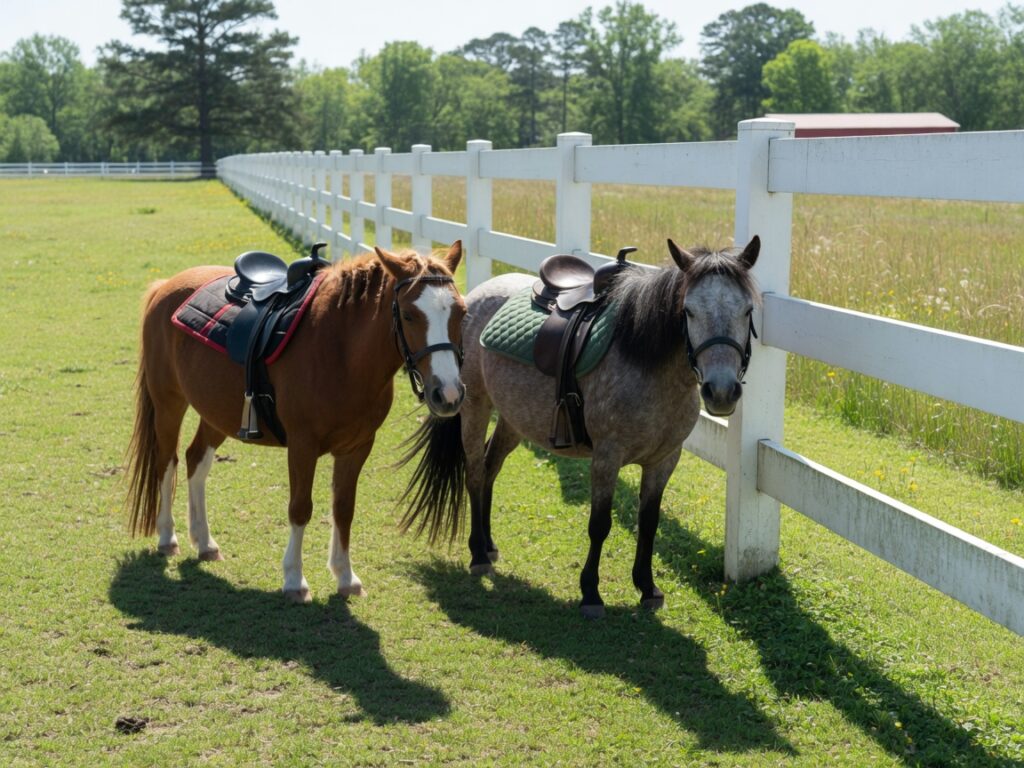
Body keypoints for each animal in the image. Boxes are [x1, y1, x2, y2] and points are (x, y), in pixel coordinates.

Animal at [125, 241, 467, 603]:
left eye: (461, 312)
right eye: (409, 314)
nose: (448, 393)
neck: (340, 349)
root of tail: (165, 285)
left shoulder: (358, 447)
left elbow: (344, 508)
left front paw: (346, 577)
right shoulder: (302, 445)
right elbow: (300, 507)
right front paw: (294, 580)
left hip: (217, 413)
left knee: (195, 461)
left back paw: (204, 542)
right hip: (168, 404)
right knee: (167, 463)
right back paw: (167, 537)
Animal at [399, 237, 761, 617]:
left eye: (747, 310)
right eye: (688, 311)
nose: (721, 391)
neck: (645, 361)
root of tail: (477, 295)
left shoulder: (664, 460)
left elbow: (649, 523)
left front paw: (647, 588)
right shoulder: (606, 457)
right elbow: (599, 524)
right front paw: (590, 592)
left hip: (513, 419)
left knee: (489, 469)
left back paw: (489, 544)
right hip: (474, 407)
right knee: (474, 473)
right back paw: (478, 553)